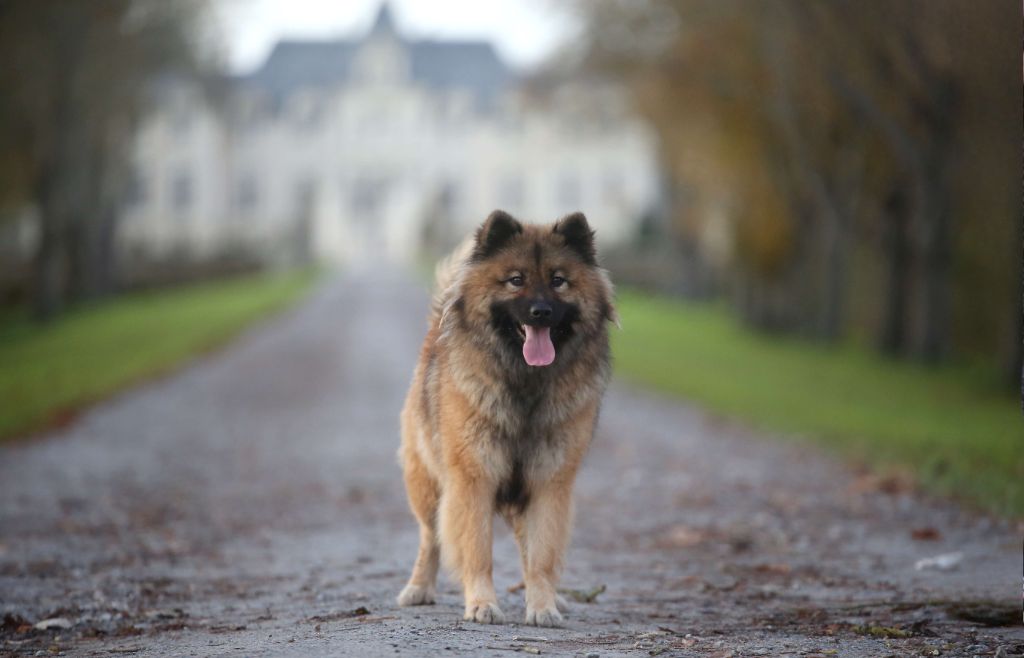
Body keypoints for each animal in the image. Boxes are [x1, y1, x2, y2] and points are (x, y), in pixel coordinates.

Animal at [395, 210, 610, 626]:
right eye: (516, 280)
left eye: (558, 281)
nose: (541, 312)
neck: (524, 384)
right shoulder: (473, 479)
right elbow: (477, 551)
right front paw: (482, 604)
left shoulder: (549, 482)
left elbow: (541, 555)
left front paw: (542, 606)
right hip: (427, 484)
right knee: (430, 538)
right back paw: (418, 588)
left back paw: (554, 597)